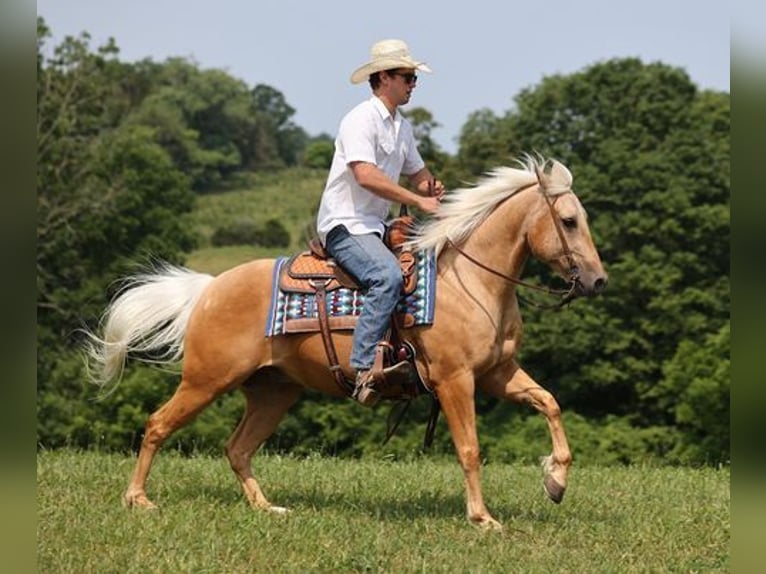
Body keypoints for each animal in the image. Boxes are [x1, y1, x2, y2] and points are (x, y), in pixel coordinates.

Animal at [85, 154, 612, 532]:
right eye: (568, 221)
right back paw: (138, 500)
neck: (469, 281)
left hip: (274, 391)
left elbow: (550, 403)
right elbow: (470, 448)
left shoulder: (497, 374)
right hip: (206, 380)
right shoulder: (455, 380)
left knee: (237, 448)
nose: (598, 280)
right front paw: (483, 519)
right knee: (158, 425)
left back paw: (267, 508)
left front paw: (555, 480)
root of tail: (209, 288)